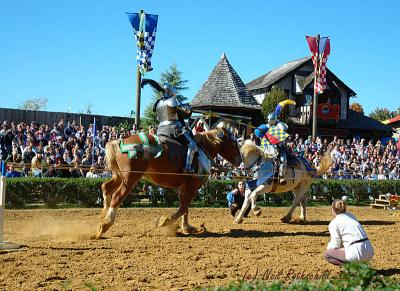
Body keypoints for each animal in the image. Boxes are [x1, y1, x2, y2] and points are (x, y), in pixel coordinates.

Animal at [95, 128, 242, 240]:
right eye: (235, 143)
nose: (240, 160)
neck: (201, 150)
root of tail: (119, 142)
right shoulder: (193, 185)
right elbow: (183, 207)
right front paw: (165, 221)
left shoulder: (183, 187)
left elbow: (185, 208)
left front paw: (186, 227)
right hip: (130, 179)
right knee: (117, 196)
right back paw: (106, 223)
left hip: (119, 176)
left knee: (106, 188)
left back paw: (104, 214)